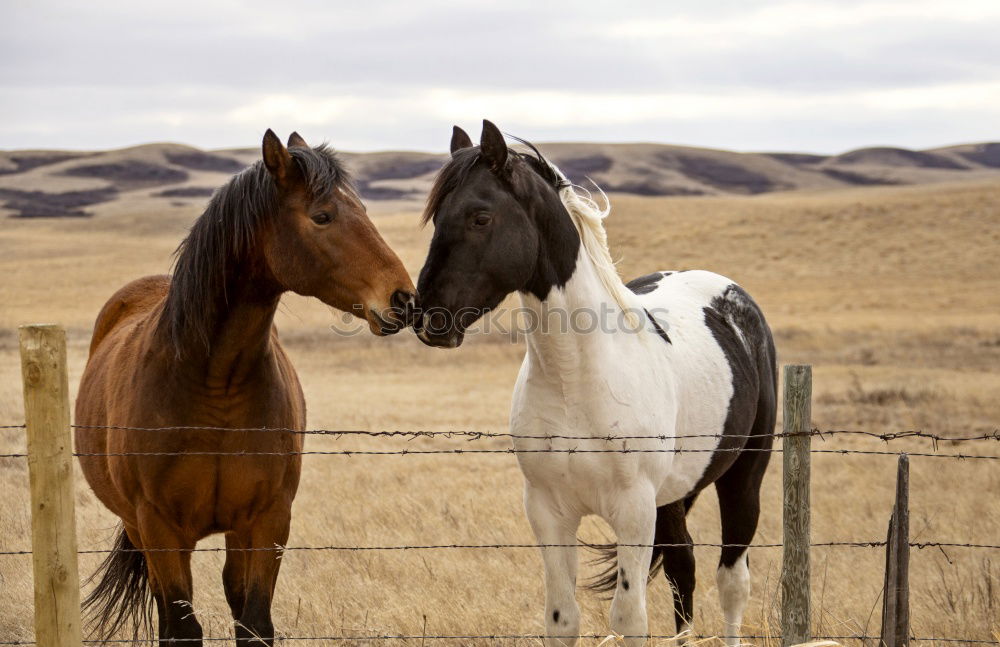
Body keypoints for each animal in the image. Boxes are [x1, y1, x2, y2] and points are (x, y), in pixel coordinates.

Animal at [75, 129, 414, 644]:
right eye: (322, 216)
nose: (405, 299)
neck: (216, 381)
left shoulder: (267, 521)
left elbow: (254, 622)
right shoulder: (160, 528)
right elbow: (181, 627)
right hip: (141, 530)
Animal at [414, 120, 780, 644]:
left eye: (480, 217)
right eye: (437, 218)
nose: (426, 318)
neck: (577, 379)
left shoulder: (633, 509)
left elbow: (629, 619)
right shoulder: (548, 510)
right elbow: (562, 619)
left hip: (744, 474)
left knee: (732, 581)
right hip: (672, 497)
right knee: (683, 568)